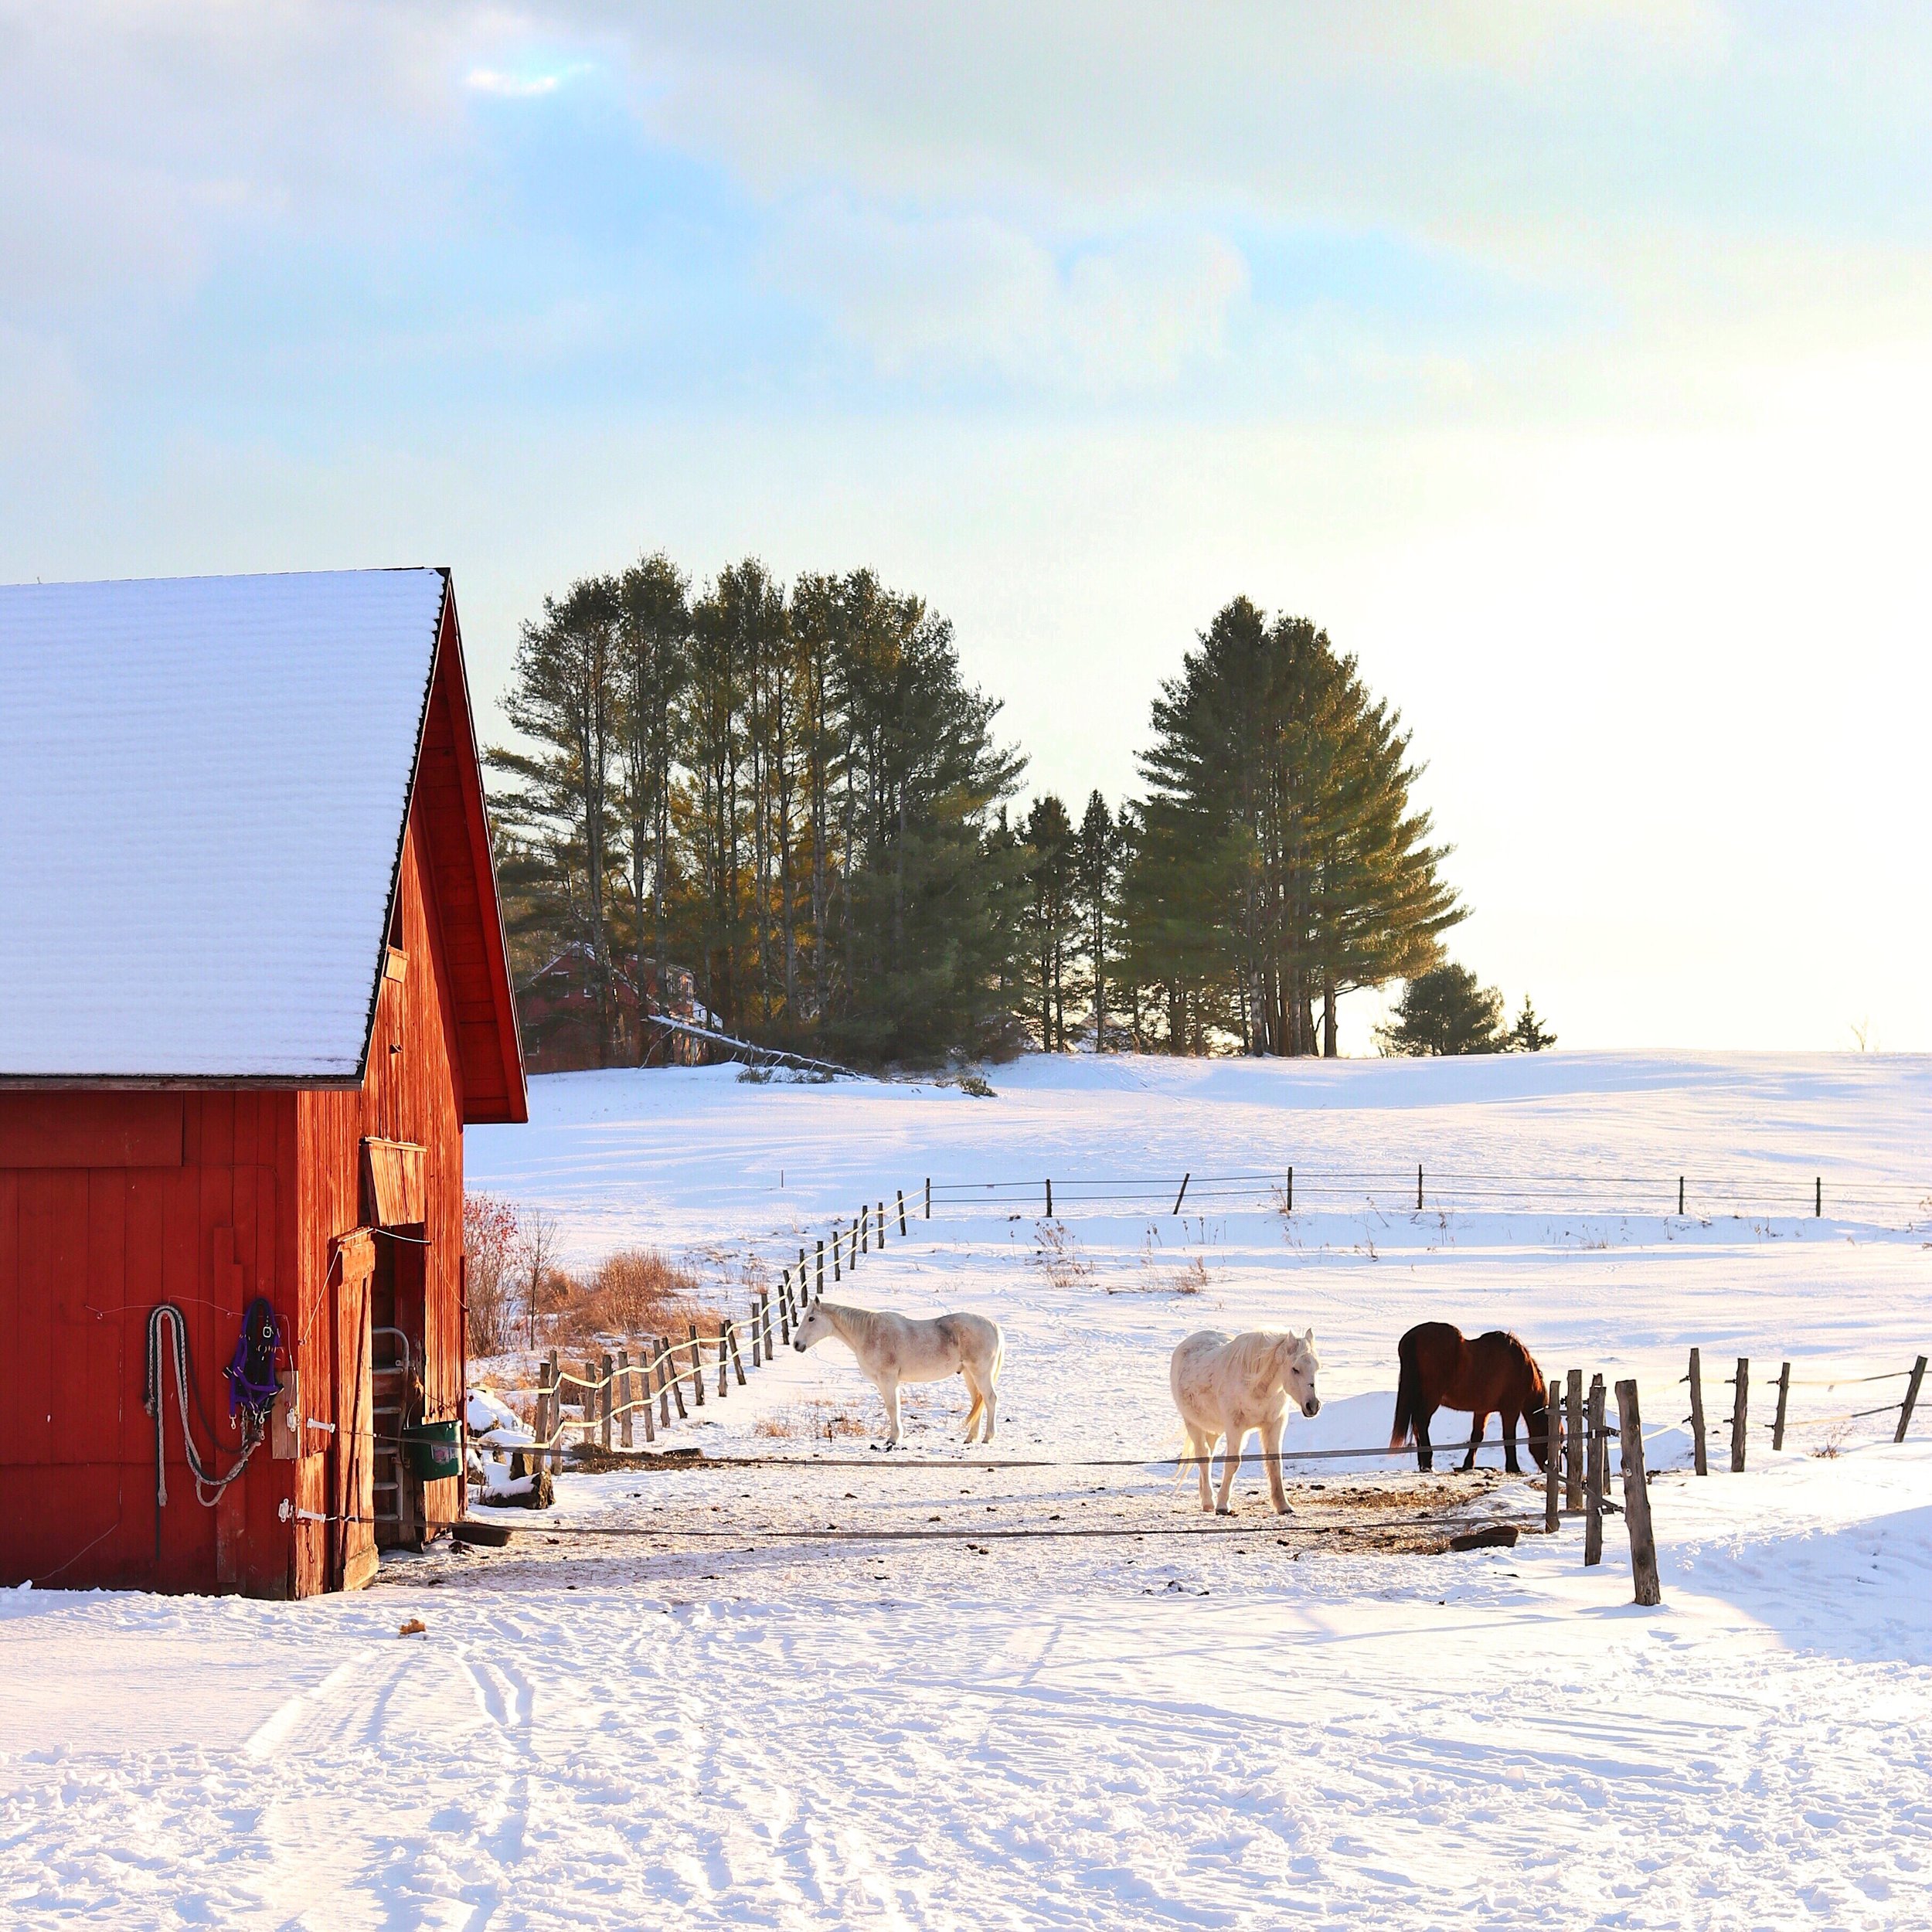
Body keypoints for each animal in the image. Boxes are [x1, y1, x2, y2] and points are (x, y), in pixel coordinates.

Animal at [788, 1306, 1005, 1445]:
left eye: (811, 1319)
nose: (797, 1344)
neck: (869, 1333)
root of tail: (993, 1326)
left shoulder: (888, 1380)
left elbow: (893, 1408)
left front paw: (893, 1439)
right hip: (969, 1374)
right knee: (978, 1401)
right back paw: (970, 1438)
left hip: (980, 1373)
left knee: (990, 1399)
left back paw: (988, 1437)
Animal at [1391, 1321, 1553, 1468]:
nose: (1551, 1466)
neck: (1521, 1368)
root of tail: (1412, 1338)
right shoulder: (1510, 1410)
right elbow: (1509, 1437)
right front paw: (1513, 1467)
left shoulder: (1483, 1411)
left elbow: (1477, 1436)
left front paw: (1468, 1465)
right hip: (1431, 1399)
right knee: (1422, 1423)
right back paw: (1428, 1463)